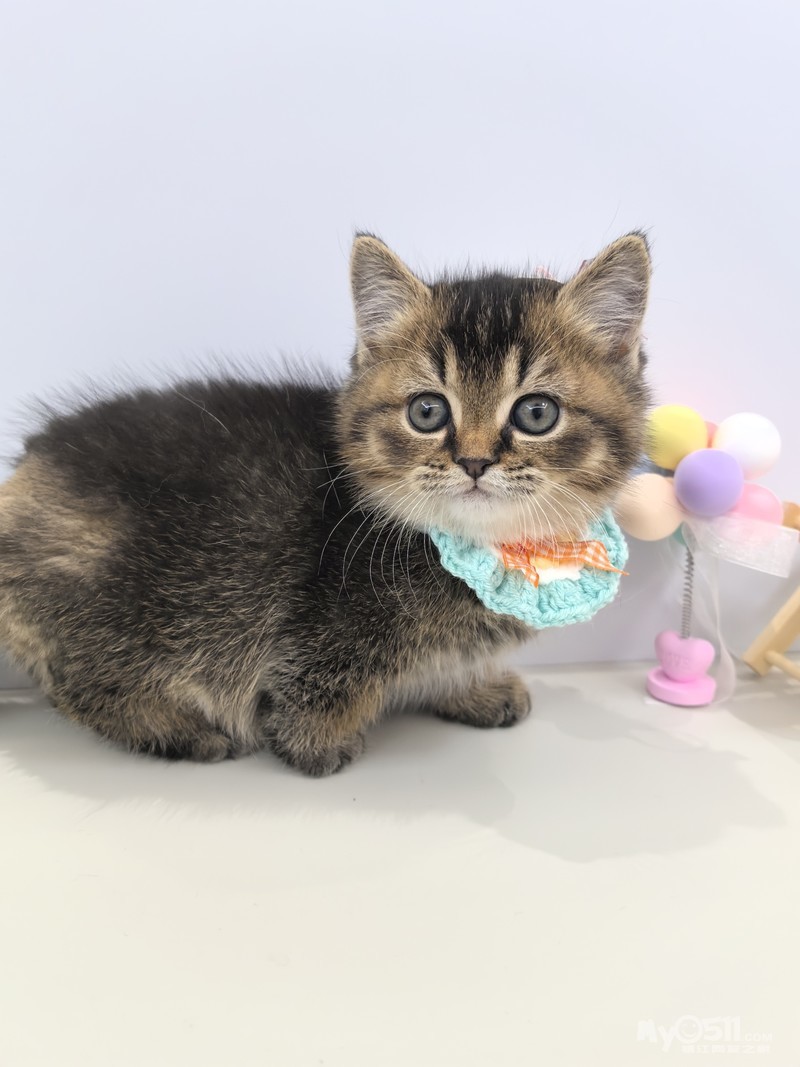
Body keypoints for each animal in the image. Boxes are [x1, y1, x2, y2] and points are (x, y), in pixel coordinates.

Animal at [0, 233, 651, 775]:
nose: (473, 461)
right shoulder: (323, 634)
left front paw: (472, 690)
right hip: (114, 600)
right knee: (80, 680)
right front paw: (318, 745)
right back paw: (180, 730)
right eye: (427, 411)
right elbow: (315, 688)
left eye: (537, 413)